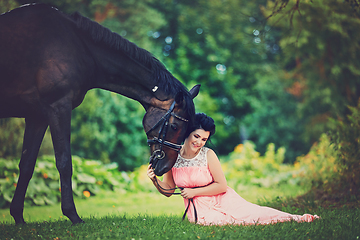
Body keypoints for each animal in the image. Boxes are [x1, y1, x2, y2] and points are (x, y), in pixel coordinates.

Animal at [0, 3, 200, 225]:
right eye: (174, 126)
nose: (165, 167)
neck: (78, 46)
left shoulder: (37, 116)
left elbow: (27, 164)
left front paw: (18, 217)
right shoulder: (58, 107)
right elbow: (64, 162)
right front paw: (72, 215)